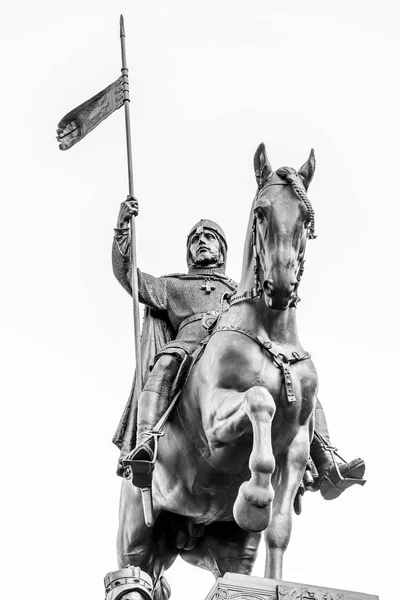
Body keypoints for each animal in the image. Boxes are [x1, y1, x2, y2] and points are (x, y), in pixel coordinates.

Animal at [112, 144, 318, 600]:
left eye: (306, 216)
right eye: (261, 211)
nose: (280, 286)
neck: (271, 335)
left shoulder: (297, 444)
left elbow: (279, 529)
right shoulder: (215, 426)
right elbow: (259, 402)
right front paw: (254, 498)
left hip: (229, 548)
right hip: (137, 539)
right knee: (133, 576)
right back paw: (142, 456)